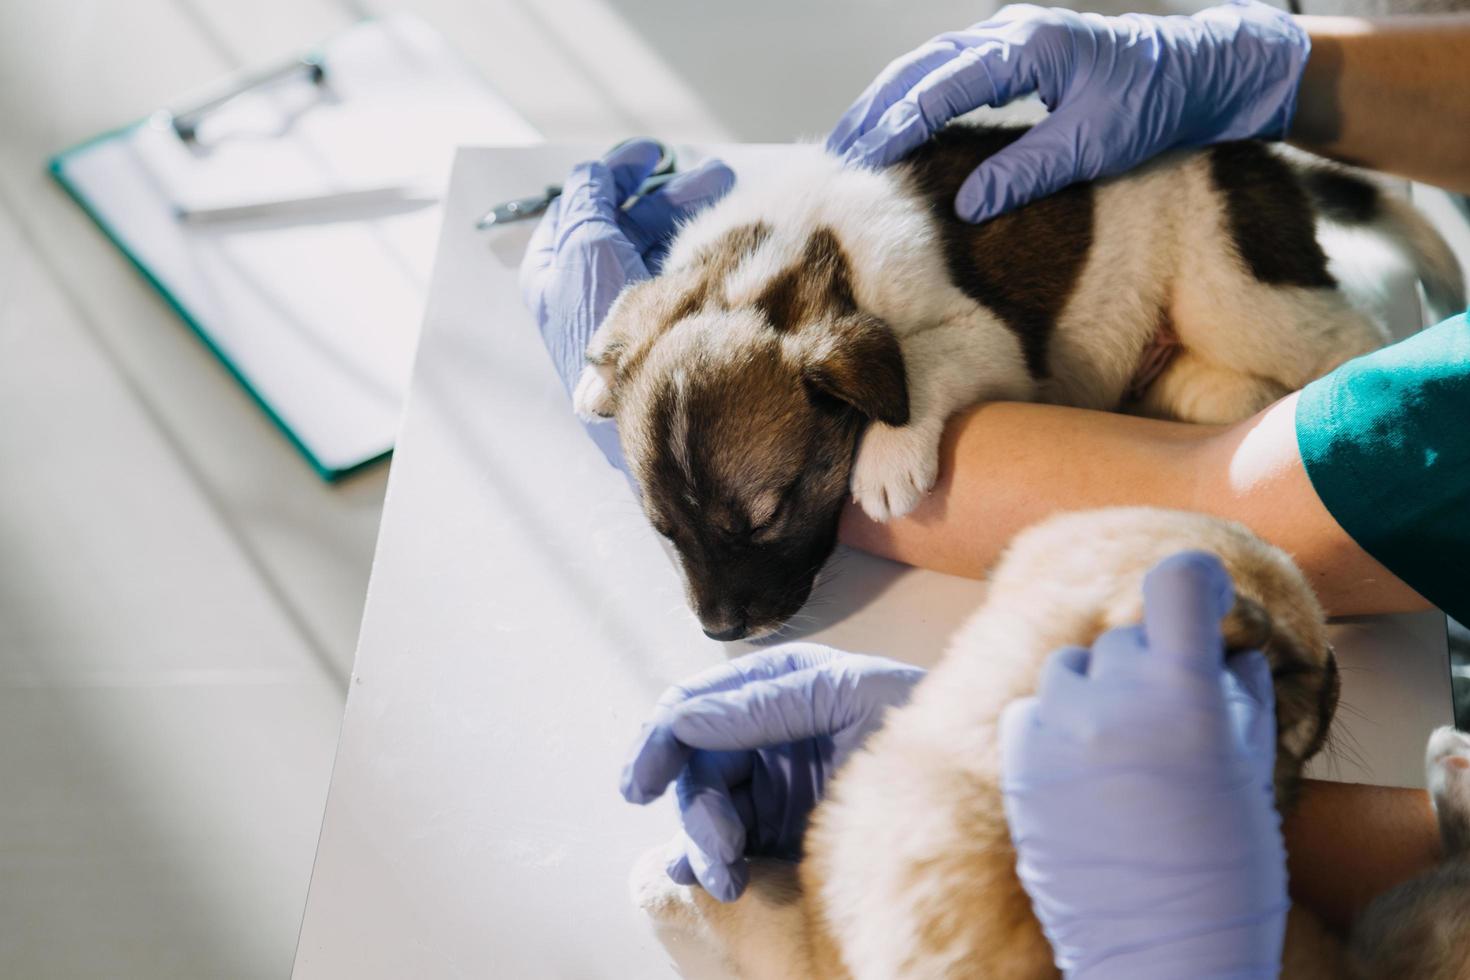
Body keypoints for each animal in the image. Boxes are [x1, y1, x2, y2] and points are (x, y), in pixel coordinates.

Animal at [573, 126, 1458, 640]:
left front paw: (889, 456)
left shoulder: (986, 335)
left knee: (1339, 335)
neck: (779, 265)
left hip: (1237, 291)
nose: (720, 634)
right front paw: (593, 365)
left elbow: (921, 359)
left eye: (768, 516)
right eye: (663, 531)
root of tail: (1258, 156)